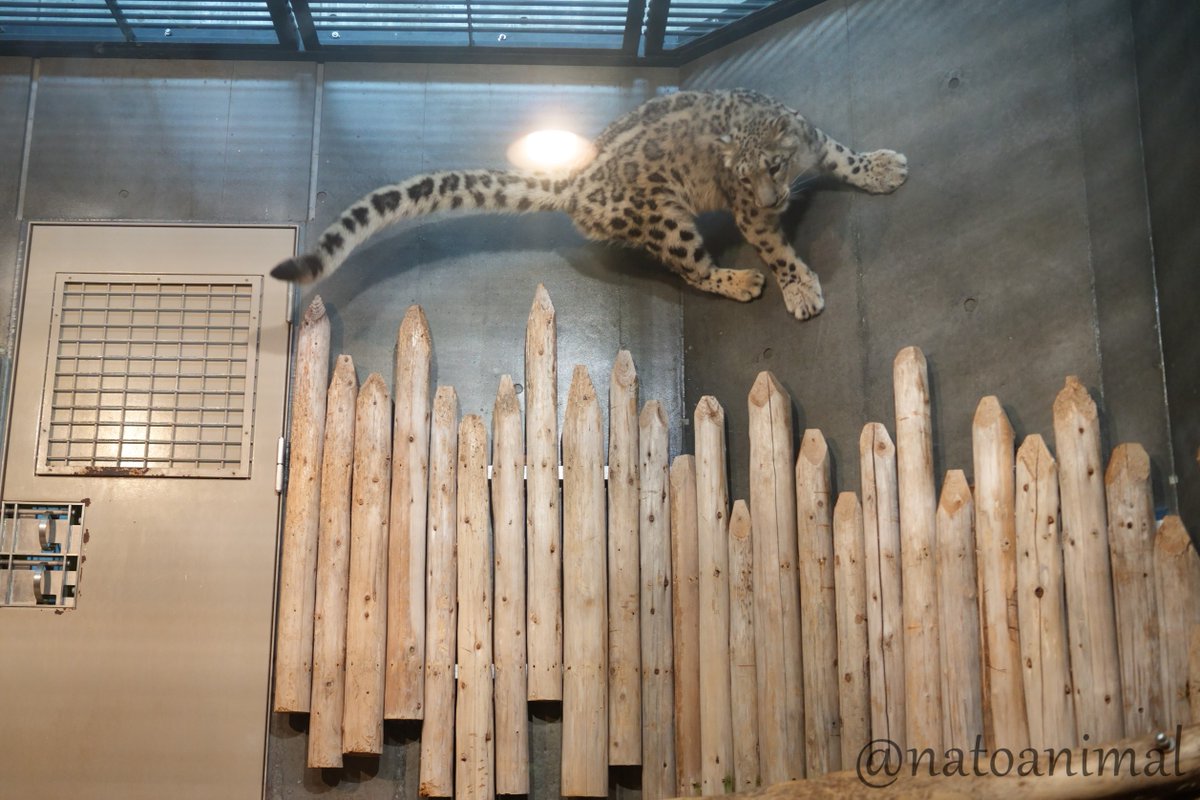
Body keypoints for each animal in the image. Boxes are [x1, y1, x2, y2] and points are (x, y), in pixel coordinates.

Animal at [271, 88, 908, 320]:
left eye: (773, 166)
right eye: (744, 181)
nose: (774, 199)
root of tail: (576, 180)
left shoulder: (817, 142)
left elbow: (844, 157)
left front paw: (882, 169)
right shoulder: (749, 216)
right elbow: (775, 249)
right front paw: (797, 289)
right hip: (669, 222)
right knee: (691, 270)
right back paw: (740, 280)